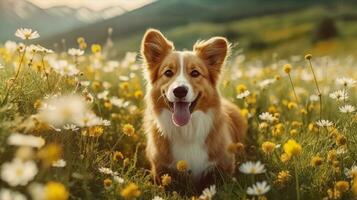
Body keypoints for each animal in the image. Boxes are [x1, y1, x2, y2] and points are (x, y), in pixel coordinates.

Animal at [140, 28, 246, 187]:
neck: (187, 130)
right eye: (168, 72)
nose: (180, 91)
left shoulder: (224, 166)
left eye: (195, 73)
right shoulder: (160, 170)